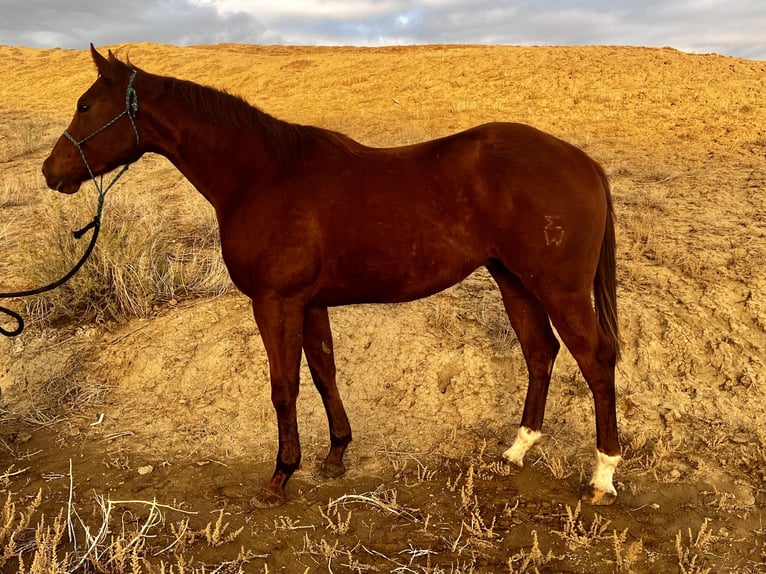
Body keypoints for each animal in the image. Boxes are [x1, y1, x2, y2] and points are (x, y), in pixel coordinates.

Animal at [43, 45, 622, 507]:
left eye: (86, 105)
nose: (52, 172)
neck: (262, 176)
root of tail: (583, 162)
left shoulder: (275, 301)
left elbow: (284, 386)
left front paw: (281, 476)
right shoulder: (310, 302)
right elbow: (324, 373)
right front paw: (335, 455)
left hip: (559, 289)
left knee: (595, 360)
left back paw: (602, 476)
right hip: (514, 281)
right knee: (540, 353)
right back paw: (517, 449)